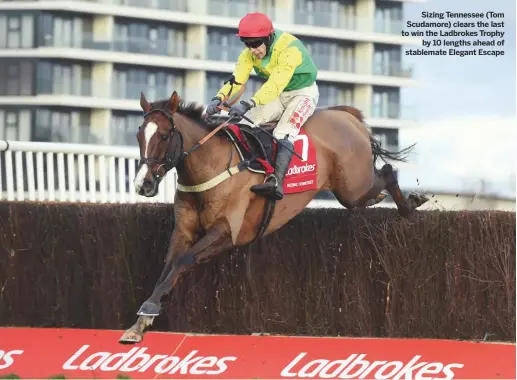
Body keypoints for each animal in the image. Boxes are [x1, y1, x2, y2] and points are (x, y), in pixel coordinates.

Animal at [118, 90, 428, 342]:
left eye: (164, 136)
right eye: (138, 135)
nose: (143, 184)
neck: (210, 165)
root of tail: (345, 115)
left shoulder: (227, 231)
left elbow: (183, 260)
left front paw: (148, 309)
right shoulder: (183, 230)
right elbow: (168, 266)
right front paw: (140, 322)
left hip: (354, 185)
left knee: (386, 172)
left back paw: (410, 205)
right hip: (353, 190)